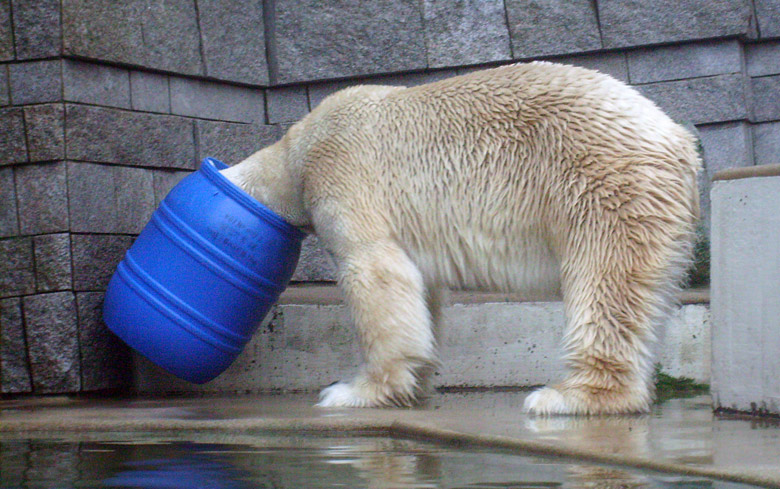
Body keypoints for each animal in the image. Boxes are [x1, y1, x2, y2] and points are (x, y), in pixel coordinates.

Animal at [221, 60, 700, 412]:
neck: (296, 150)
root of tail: (679, 140)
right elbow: (421, 291)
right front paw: (415, 381)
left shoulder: (343, 174)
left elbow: (375, 272)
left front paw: (353, 391)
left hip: (601, 184)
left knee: (604, 280)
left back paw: (569, 396)